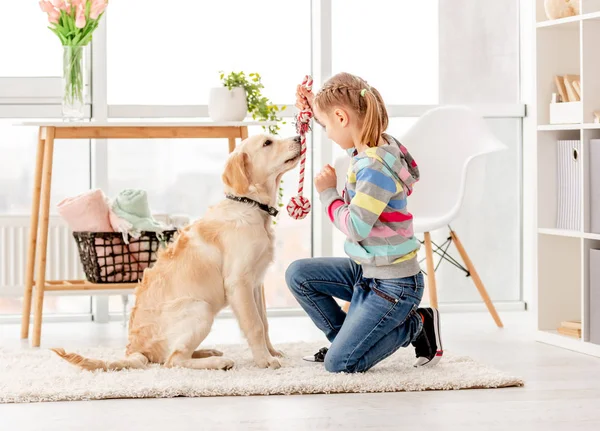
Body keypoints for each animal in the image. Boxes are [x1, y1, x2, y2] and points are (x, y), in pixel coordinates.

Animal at [51, 134, 302, 372]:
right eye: (267, 143)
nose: (299, 137)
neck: (249, 205)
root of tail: (135, 349)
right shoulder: (239, 282)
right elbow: (255, 324)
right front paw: (264, 360)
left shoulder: (256, 284)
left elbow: (265, 322)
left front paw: (272, 352)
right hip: (200, 307)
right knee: (173, 360)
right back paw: (217, 362)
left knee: (175, 356)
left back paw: (208, 352)